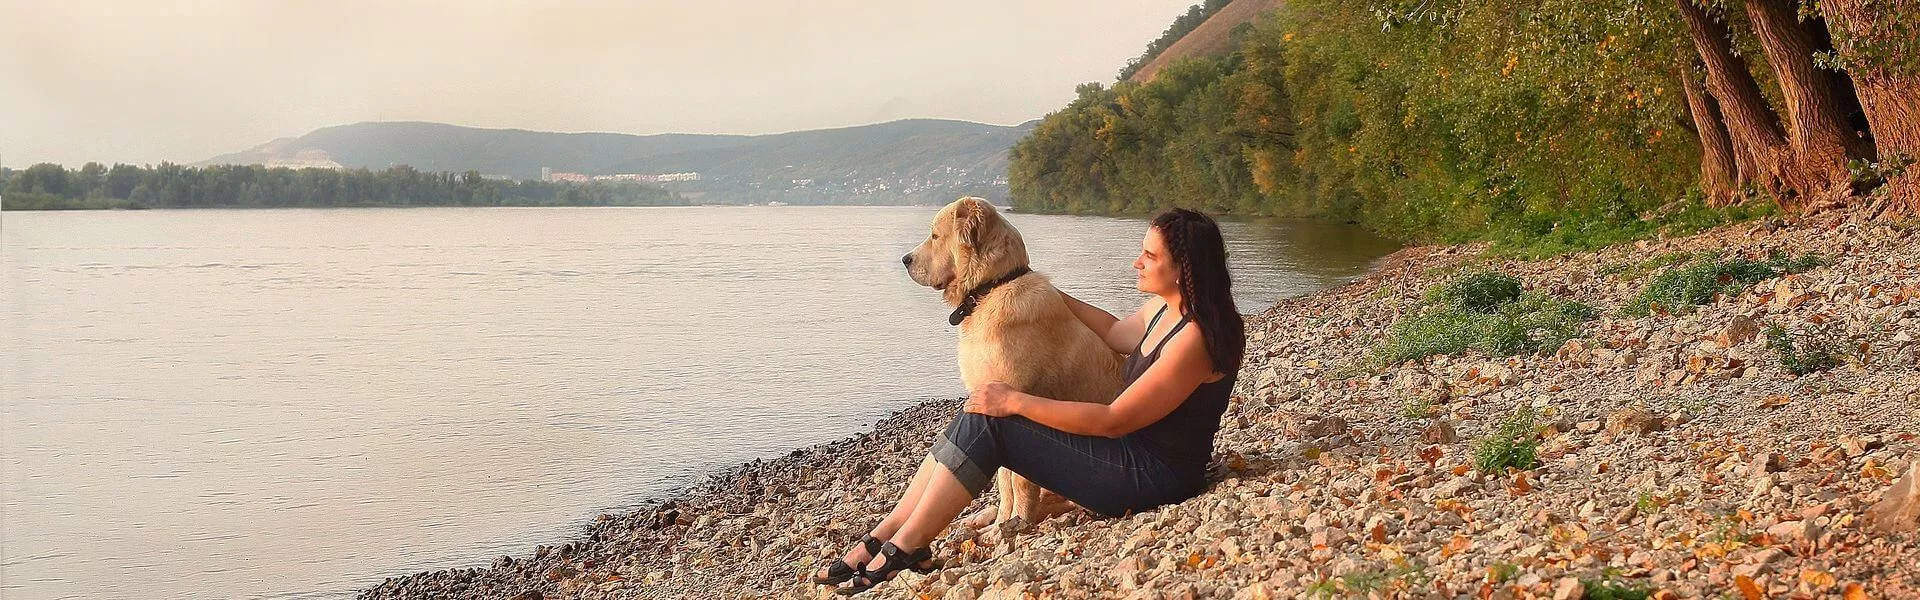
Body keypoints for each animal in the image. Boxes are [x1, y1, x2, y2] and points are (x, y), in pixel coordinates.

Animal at [898, 196, 1121, 530]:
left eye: (935, 236)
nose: (905, 259)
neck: (991, 288)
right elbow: (1004, 480)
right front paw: (1002, 521)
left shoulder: (1011, 402)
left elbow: (1019, 481)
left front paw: (1017, 521)